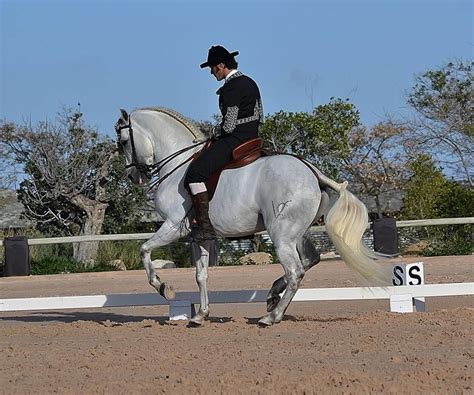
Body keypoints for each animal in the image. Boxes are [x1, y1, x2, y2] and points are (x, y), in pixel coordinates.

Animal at [115, 106, 392, 326]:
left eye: (124, 142)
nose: (132, 176)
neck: (179, 163)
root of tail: (312, 171)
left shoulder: (174, 226)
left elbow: (144, 250)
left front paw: (165, 288)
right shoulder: (200, 237)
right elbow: (201, 276)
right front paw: (200, 315)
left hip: (281, 235)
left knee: (296, 272)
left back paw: (272, 316)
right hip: (297, 233)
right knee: (309, 260)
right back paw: (272, 296)